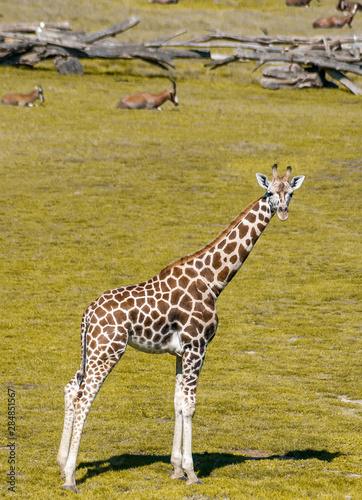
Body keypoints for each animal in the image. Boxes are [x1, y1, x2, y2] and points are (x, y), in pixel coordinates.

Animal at [57, 165, 306, 492]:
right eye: (270, 192)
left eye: (290, 192)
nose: (284, 212)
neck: (213, 281)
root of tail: (87, 315)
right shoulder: (197, 346)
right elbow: (190, 405)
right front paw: (191, 472)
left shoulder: (180, 351)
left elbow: (176, 402)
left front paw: (175, 468)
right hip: (108, 350)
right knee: (84, 398)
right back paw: (71, 478)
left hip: (91, 351)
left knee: (71, 388)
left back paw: (61, 464)